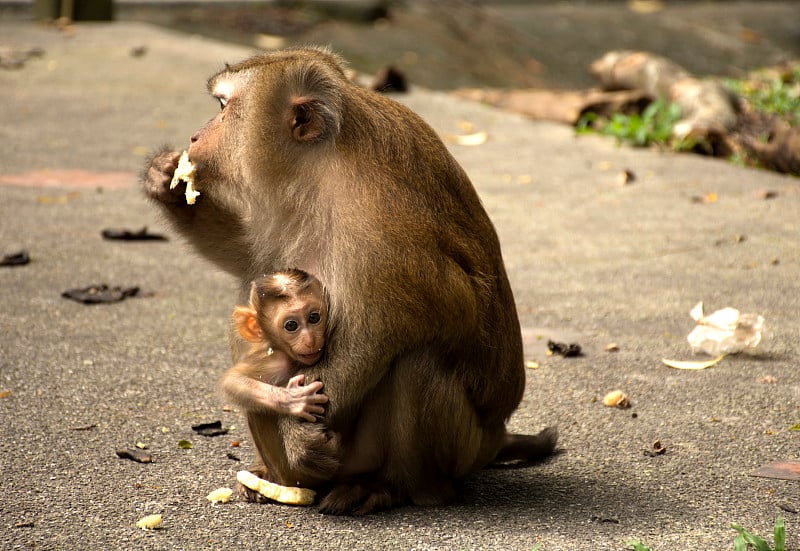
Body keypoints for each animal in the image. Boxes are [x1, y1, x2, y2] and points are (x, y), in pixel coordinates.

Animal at [219, 268, 328, 422]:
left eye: (314, 317)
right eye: (291, 325)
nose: (310, 340)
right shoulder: (275, 362)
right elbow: (232, 380)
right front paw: (291, 399)